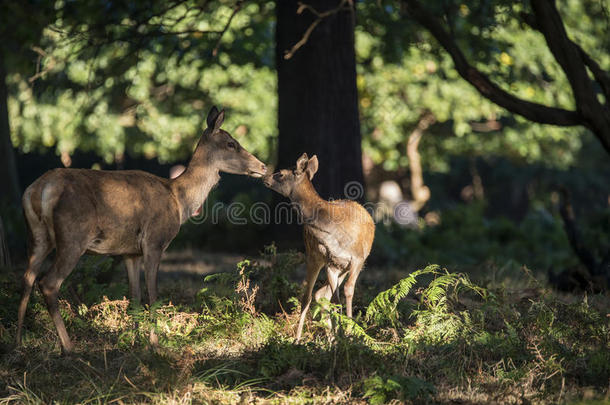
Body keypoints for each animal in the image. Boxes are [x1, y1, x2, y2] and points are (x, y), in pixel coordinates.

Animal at [16, 105, 264, 352]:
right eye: (231, 143)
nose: (262, 166)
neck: (178, 200)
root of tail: (39, 189)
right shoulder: (154, 241)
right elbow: (152, 295)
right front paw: (155, 345)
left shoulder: (130, 252)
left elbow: (134, 296)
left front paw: (135, 342)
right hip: (72, 237)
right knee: (48, 282)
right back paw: (68, 347)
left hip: (36, 237)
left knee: (27, 277)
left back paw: (18, 338)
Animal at [262, 153, 376, 340]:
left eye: (281, 173)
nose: (264, 177)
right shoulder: (331, 262)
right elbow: (335, 299)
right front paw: (341, 335)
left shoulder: (358, 258)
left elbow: (348, 290)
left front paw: (349, 333)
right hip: (316, 256)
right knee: (314, 295)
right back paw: (306, 338)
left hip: (343, 265)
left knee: (322, 294)